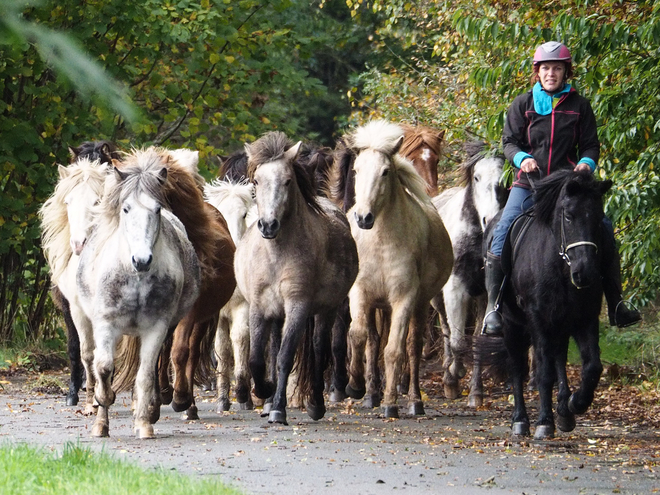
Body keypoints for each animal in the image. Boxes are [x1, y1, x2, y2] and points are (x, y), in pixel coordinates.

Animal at [232, 131, 356, 426]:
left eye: (288, 181)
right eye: (256, 181)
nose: (268, 225)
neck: (277, 255)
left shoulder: (298, 305)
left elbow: (286, 356)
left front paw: (278, 409)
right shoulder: (259, 307)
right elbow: (258, 358)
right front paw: (265, 392)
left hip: (326, 309)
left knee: (320, 349)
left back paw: (316, 404)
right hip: (277, 314)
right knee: (274, 346)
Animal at [342, 120, 456, 418]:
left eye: (385, 171)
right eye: (356, 170)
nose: (363, 218)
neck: (381, 243)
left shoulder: (404, 299)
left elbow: (395, 351)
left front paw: (390, 403)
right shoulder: (360, 294)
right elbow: (358, 336)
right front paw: (355, 386)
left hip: (419, 304)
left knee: (412, 348)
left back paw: (414, 401)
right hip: (378, 306)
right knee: (372, 341)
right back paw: (370, 394)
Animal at [430, 141, 508, 404]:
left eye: (503, 180)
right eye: (476, 177)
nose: (489, 219)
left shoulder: (487, 295)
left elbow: (477, 341)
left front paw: (476, 393)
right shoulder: (455, 288)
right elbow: (457, 341)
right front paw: (455, 374)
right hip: (436, 298)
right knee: (446, 329)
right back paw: (449, 377)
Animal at [484, 172, 612, 440]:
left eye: (598, 217)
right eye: (568, 216)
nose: (585, 273)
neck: (561, 266)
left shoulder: (585, 318)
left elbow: (592, 366)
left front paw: (576, 404)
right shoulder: (539, 319)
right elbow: (543, 372)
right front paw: (544, 422)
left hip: (560, 325)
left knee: (559, 360)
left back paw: (564, 411)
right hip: (512, 325)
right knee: (518, 368)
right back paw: (520, 420)